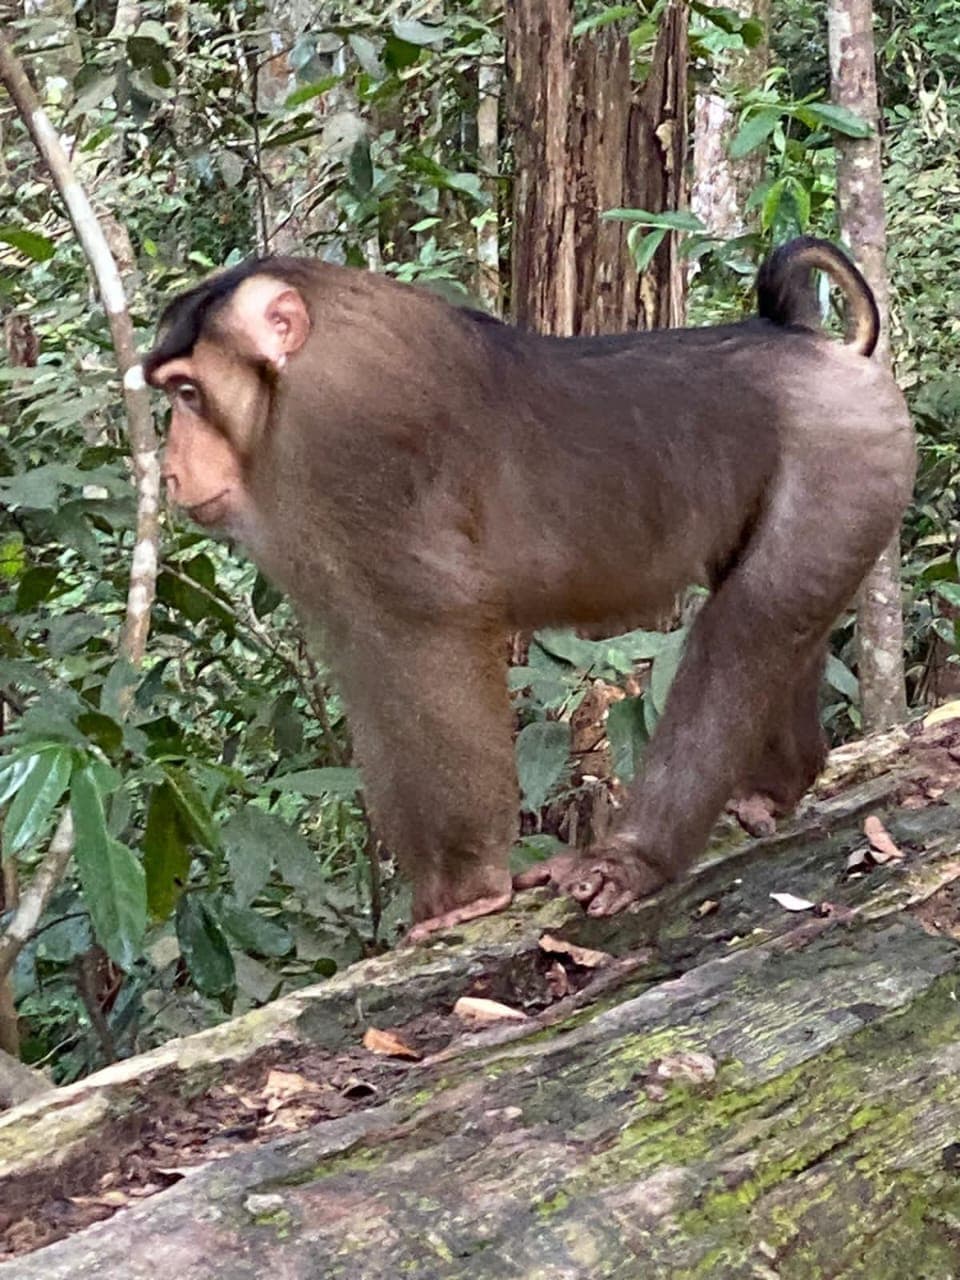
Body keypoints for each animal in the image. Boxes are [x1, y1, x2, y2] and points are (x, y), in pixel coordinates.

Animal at [144, 237, 915, 941]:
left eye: (188, 394)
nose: (172, 470)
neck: (289, 389)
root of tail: (805, 343)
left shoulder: (349, 438)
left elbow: (425, 642)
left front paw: (465, 887)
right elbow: (368, 658)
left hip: (846, 456)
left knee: (751, 623)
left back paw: (637, 858)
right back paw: (781, 782)